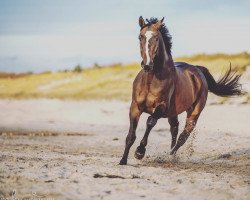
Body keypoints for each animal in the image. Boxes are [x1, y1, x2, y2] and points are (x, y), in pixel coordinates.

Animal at [119, 16, 244, 166]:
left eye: (156, 38)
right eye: (140, 37)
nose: (147, 65)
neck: (151, 80)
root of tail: (197, 70)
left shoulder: (161, 107)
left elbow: (150, 121)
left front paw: (139, 152)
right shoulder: (135, 107)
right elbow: (131, 135)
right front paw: (123, 160)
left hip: (194, 113)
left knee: (183, 136)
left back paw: (169, 156)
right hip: (172, 113)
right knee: (174, 130)